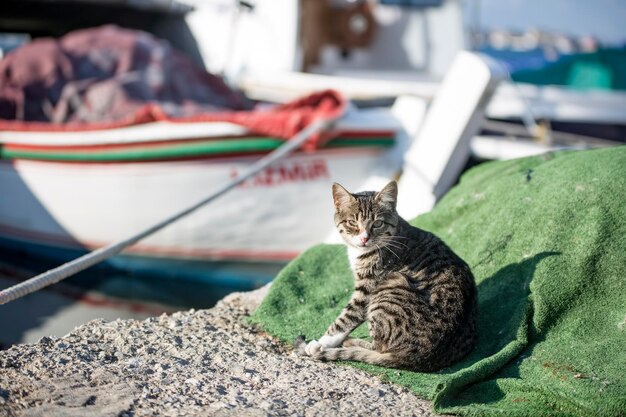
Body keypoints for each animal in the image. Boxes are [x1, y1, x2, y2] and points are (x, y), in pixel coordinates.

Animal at [294, 180, 476, 368]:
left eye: (378, 224)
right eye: (352, 222)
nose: (364, 238)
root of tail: (420, 357)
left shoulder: (367, 289)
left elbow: (346, 318)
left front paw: (319, 343)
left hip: (391, 284)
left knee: (378, 347)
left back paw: (350, 342)